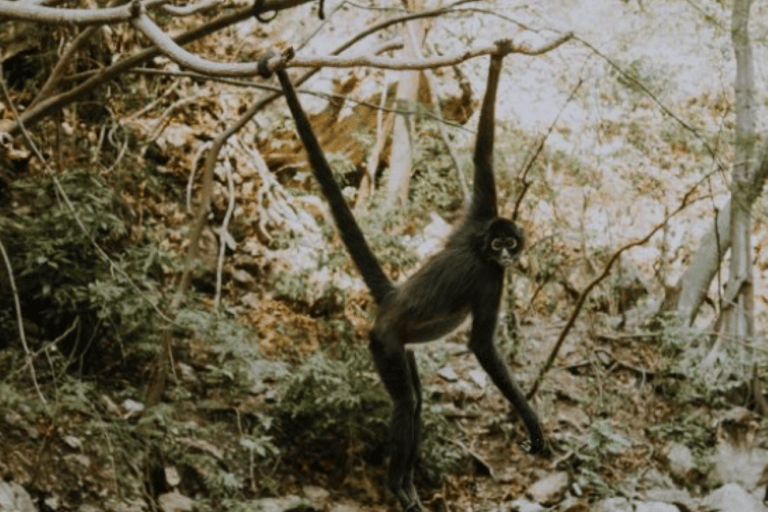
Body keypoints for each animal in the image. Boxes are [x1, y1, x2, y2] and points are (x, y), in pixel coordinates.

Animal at [268, 42, 544, 510]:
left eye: (509, 242)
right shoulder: (489, 276)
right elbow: (481, 346)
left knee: (415, 403)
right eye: (498, 246)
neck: (478, 246)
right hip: (383, 340)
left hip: (401, 345)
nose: (507, 253)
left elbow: (483, 153)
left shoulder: (478, 217)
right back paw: (397, 484)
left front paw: (497, 59)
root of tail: (393, 297)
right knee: (406, 401)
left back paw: (408, 483)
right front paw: (533, 424)